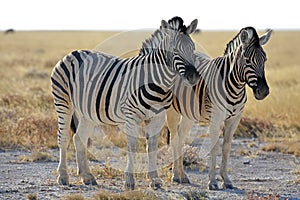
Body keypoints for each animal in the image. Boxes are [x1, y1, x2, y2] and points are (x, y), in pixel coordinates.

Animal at [50, 16, 200, 190]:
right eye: (175, 50)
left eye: (193, 49)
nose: (194, 77)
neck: (157, 83)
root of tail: (72, 53)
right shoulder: (131, 115)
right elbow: (132, 147)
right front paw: (129, 181)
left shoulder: (158, 117)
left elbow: (152, 147)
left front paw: (154, 179)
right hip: (63, 102)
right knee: (63, 137)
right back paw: (63, 176)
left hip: (87, 112)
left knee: (79, 138)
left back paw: (87, 177)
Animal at [166, 27, 272, 190]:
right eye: (247, 60)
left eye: (265, 60)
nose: (264, 92)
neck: (234, 87)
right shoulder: (215, 118)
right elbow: (214, 147)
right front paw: (212, 182)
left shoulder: (234, 119)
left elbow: (226, 147)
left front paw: (226, 180)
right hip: (172, 111)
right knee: (174, 139)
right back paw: (176, 176)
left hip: (189, 115)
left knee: (181, 139)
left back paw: (183, 176)